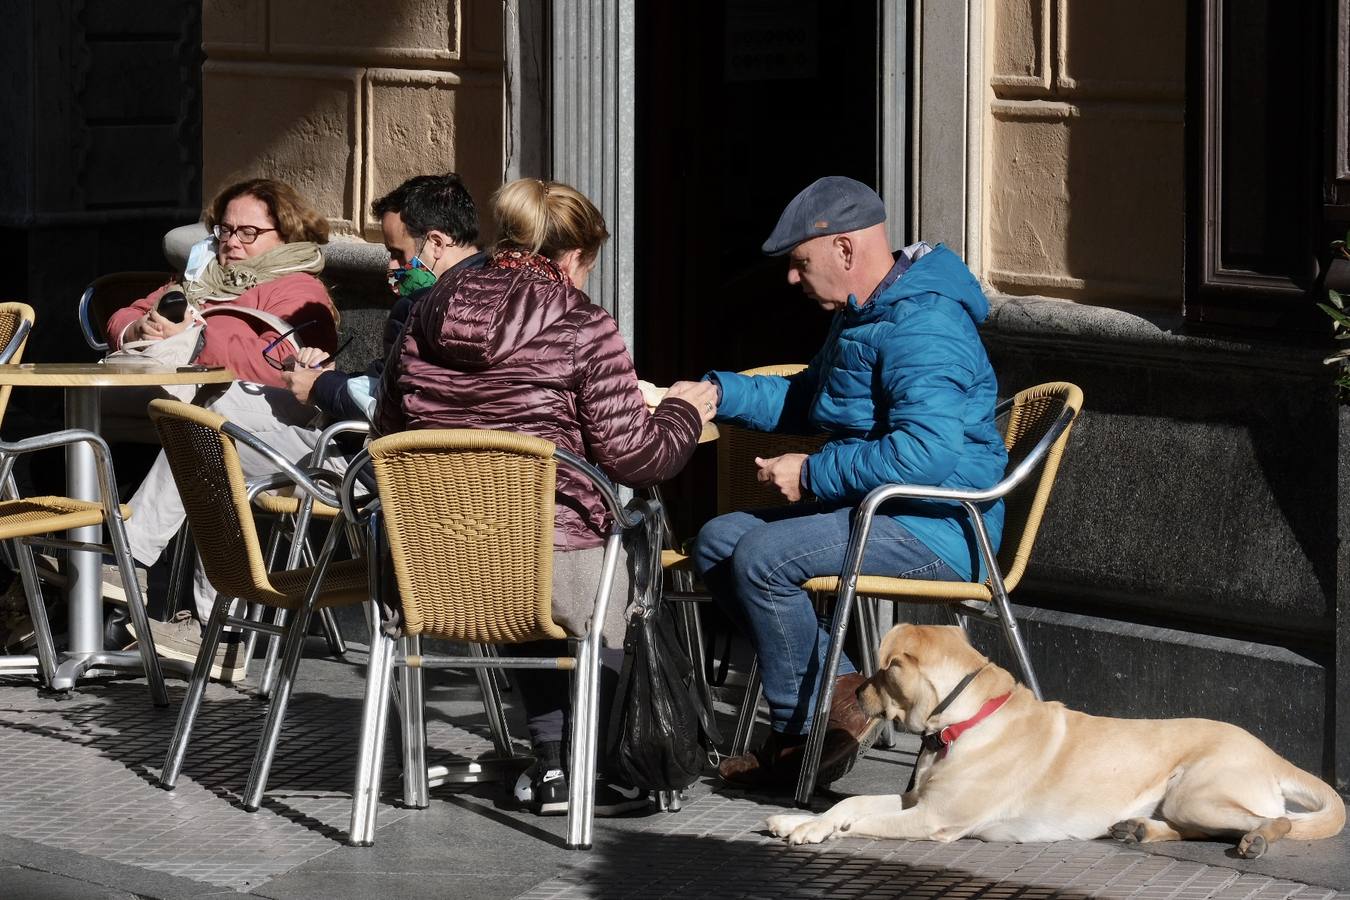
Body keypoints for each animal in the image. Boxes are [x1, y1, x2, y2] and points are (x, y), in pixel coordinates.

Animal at [766, 623, 1344, 858]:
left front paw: (816, 829)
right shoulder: (917, 799)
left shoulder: (933, 819)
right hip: (1184, 803)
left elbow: (860, 818)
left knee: (1274, 820)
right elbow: (856, 803)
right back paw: (1139, 830)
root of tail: (1270, 753)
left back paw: (1257, 840)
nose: (857, 690)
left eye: (881, 673)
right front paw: (798, 819)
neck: (962, 723)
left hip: (1195, 792)